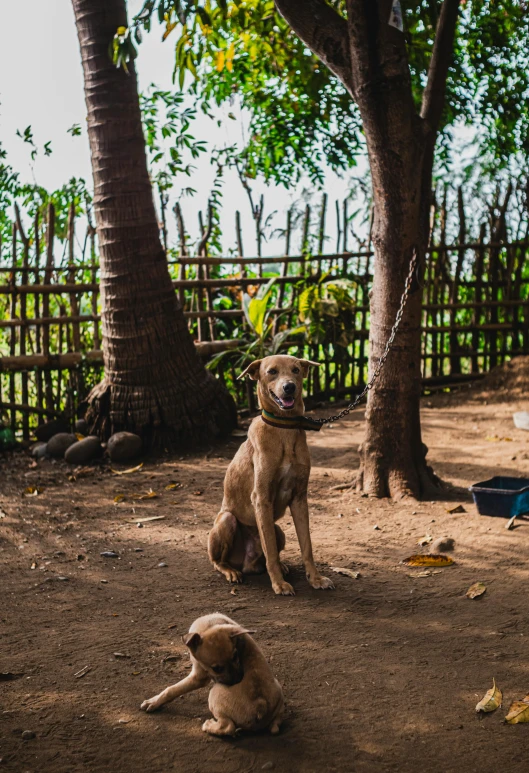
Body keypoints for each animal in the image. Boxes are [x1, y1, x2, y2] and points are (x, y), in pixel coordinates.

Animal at [138, 612, 282, 732]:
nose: (238, 680)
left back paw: (209, 726)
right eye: (217, 668)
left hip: (215, 694)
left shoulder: (198, 677)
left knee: (227, 727)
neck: (209, 626)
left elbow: (171, 690)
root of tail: (261, 704)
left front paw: (153, 701)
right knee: (275, 726)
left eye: (235, 656)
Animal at [205, 352, 332, 596]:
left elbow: (307, 546)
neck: (284, 429)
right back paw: (232, 572)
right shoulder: (261, 498)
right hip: (226, 520)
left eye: (296, 370)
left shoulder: (300, 498)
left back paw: (280, 567)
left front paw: (315, 579)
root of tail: (246, 563)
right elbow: (270, 550)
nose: (289, 387)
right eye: (272, 371)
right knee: (218, 561)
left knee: (266, 552)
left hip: (278, 529)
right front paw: (279, 584)